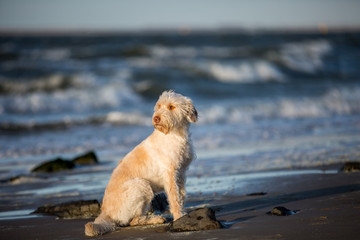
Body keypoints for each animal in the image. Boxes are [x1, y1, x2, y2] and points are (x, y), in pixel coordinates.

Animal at [85, 90, 197, 236]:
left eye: (171, 107)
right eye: (159, 106)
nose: (156, 118)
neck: (175, 134)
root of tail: (106, 213)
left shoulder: (181, 173)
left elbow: (181, 195)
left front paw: (182, 215)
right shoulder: (170, 174)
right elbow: (174, 198)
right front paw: (179, 217)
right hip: (142, 185)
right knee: (133, 221)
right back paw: (155, 219)